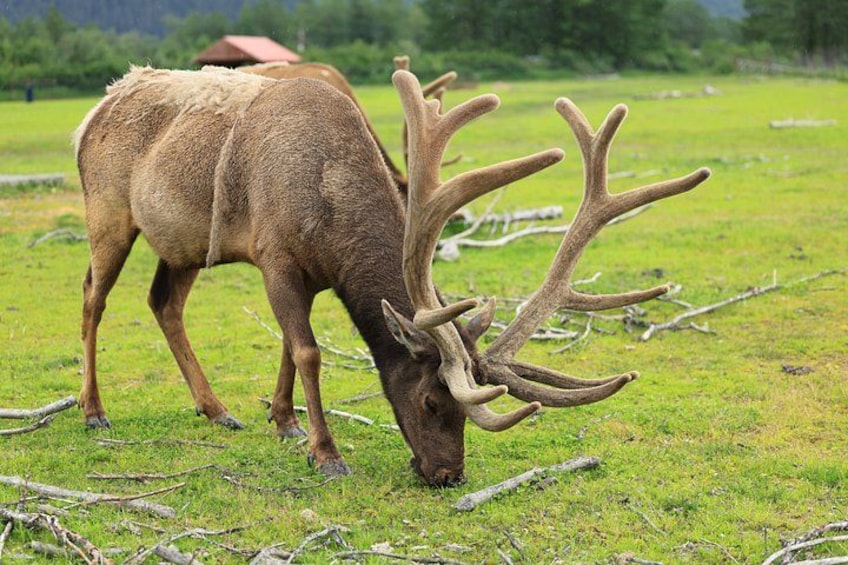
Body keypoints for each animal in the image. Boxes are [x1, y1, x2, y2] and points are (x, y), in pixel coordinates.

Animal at [74, 64, 710, 486]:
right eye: (430, 402)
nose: (449, 475)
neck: (330, 213)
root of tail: (95, 109)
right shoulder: (273, 254)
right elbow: (308, 351)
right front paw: (325, 452)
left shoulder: (311, 275)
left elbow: (287, 346)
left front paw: (282, 422)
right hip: (107, 211)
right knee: (92, 299)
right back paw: (93, 410)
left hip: (180, 245)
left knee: (163, 303)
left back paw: (215, 408)